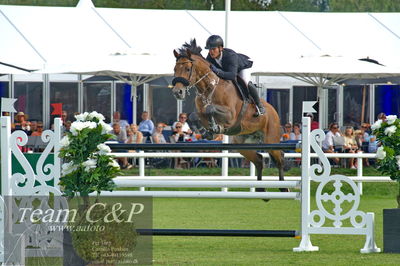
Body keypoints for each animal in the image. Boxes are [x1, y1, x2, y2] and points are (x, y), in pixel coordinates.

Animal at [170, 39, 286, 191]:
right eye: (174, 69)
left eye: (188, 69)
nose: (177, 92)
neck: (210, 88)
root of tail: (274, 111)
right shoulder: (201, 111)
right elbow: (196, 115)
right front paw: (206, 131)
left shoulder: (230, 116)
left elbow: (210, 109)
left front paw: (215, 127)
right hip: (242, 143)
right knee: (259, 160)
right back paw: (261, 190)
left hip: (270, 140)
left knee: (279, 158)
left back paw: (284, 188)